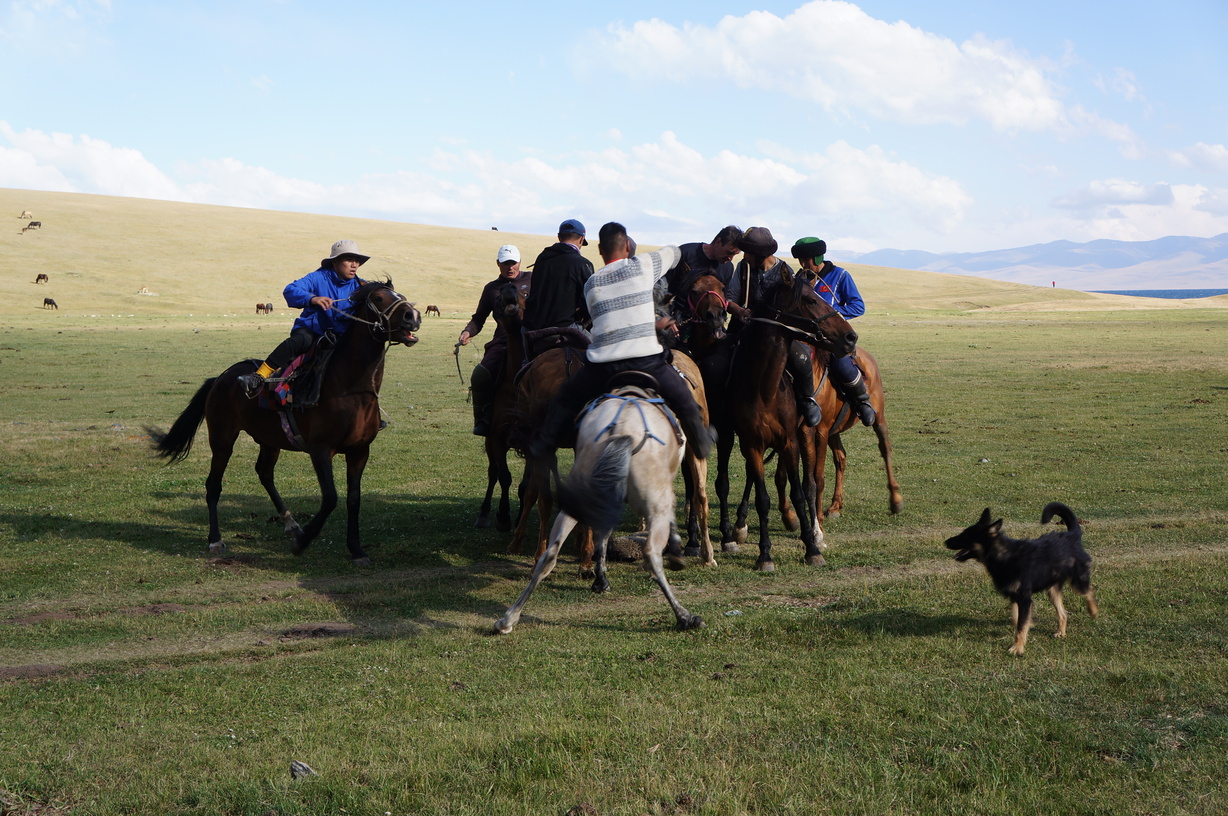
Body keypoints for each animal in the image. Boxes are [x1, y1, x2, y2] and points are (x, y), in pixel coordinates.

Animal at [148, 278, 422, 560]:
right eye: (378, 298)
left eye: (400, 295)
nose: (413, 316)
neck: (349, 389)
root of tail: (221, 378)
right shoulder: (320, 450)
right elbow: (330, 498)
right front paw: (302, 542)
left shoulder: (359, 451)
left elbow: (353, 499)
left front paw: (356, 549)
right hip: (222, 438)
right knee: (214, 485)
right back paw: (215, 540)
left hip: (269, 440)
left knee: (264, 473)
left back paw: (290, 523)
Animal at [493, 385, 707, 634]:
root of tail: (622, 430)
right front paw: (676, 551)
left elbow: (601, 534)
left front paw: (600, 579)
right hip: (654, 503)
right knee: (651, 555)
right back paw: (685, 616)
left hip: (577, 502)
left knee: (549, 555)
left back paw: (509, 618)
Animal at [717, 270, 859, 570]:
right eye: (810, 300)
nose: (850, 337)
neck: (764, 388)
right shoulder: (752, 443)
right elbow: (762, 498)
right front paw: (764, 555)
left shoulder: (790, 441)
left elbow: (800, 490)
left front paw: (812, 548)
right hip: (728, 437)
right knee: (732, 479)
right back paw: (733, 533)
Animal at [943, 503, 1100, 658]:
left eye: (965, 535)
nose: (946, 541)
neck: (1003, 555)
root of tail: (1072, 535)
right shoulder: (1014, 596)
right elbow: (1017, 619)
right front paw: (1028, 628)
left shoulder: (1025, 599)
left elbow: (1020, 625)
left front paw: (1017, 648)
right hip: (1052, 590)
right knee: (1063, 613)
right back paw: (1061, 632)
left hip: (1077, 582)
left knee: (1089, 591)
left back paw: (1093, 611)